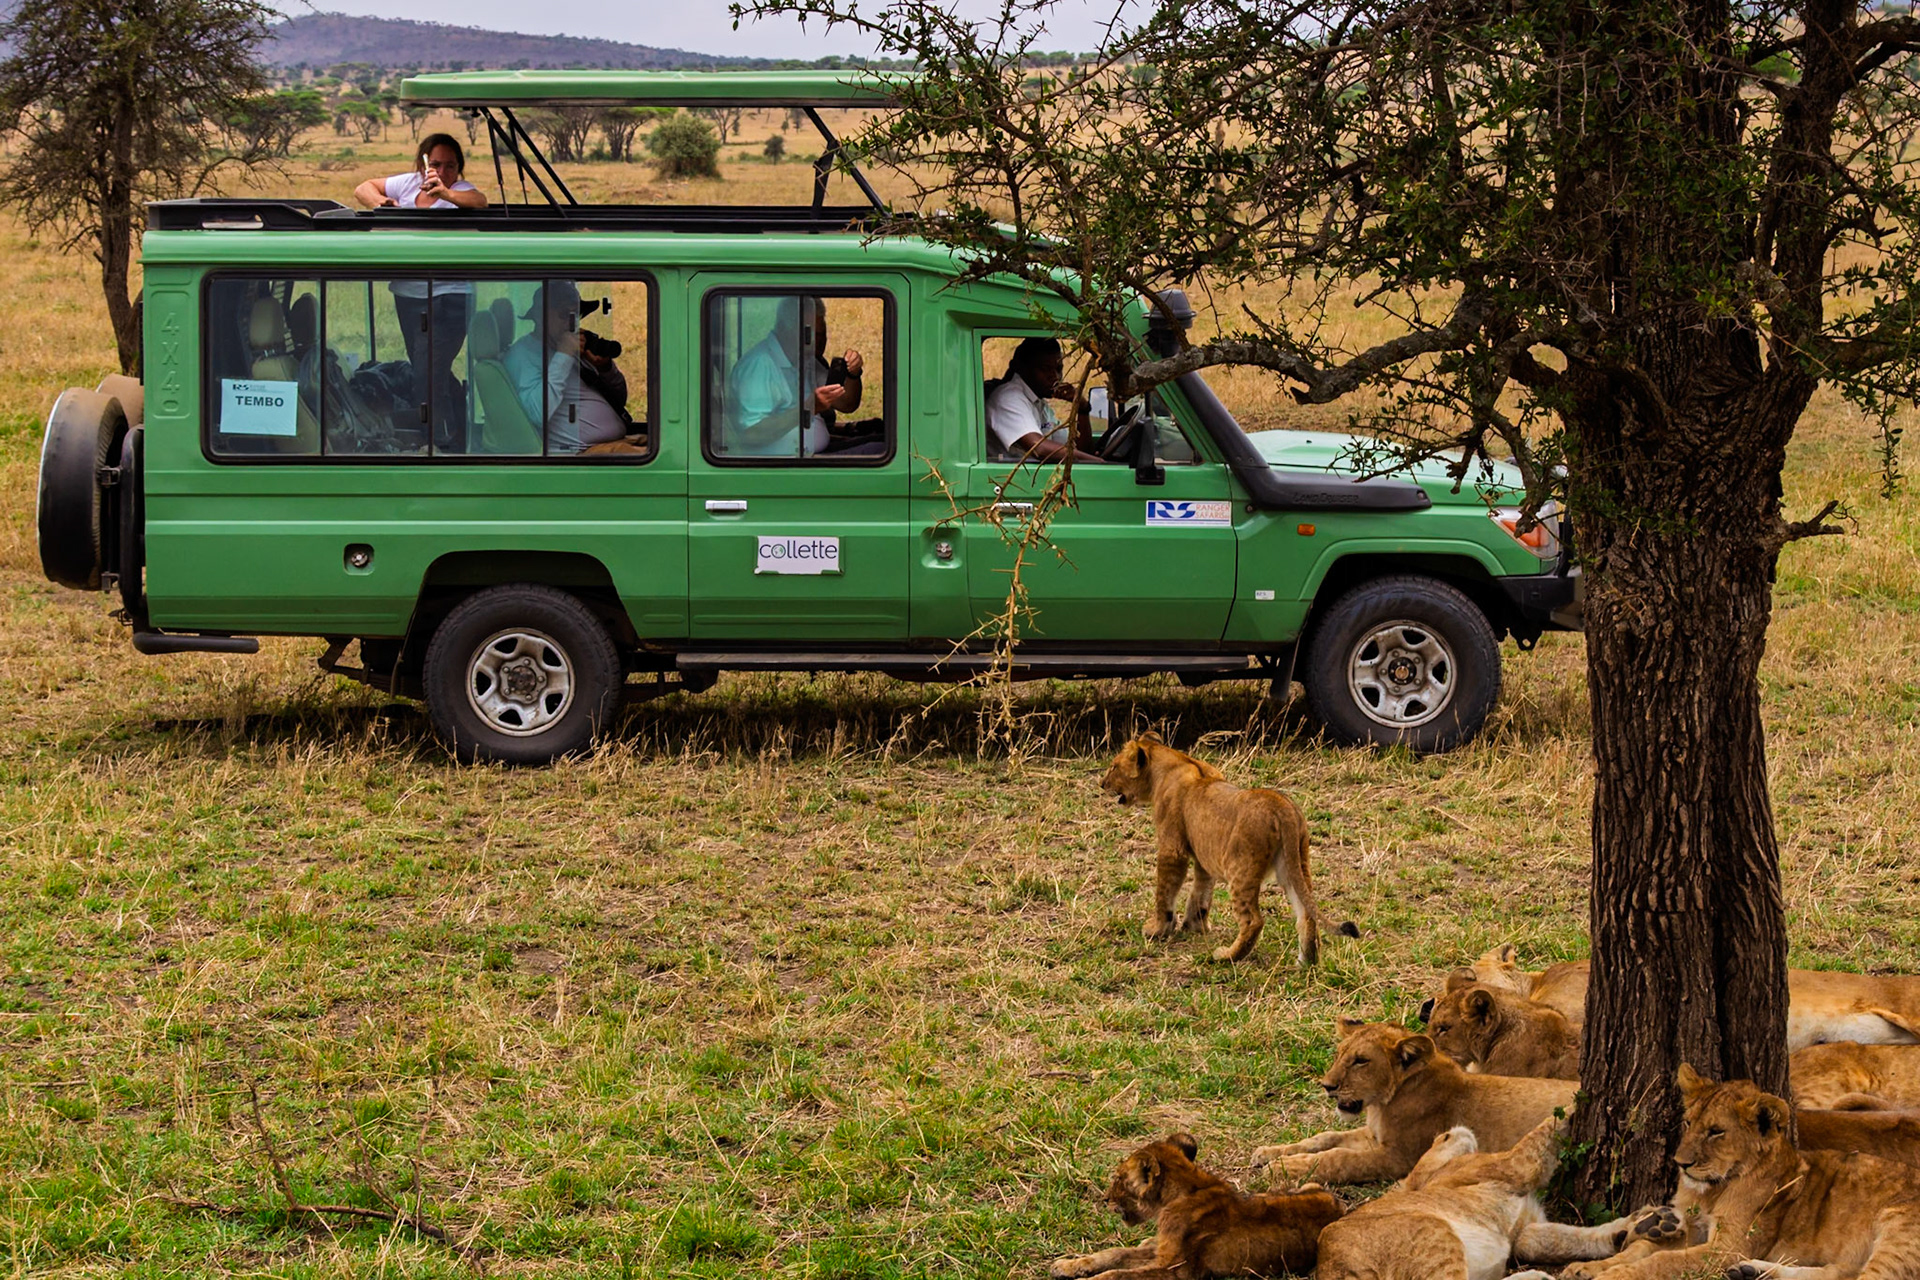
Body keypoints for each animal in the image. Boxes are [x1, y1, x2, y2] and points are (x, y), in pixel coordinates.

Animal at [1049, 1132, 1343, 1280]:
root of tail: (1338, 1206)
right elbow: (1114, 1254)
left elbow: (1116, 1275)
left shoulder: (1177, 1270)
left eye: (1119, 1179)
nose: (1105, 1199)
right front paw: (1067, 1266)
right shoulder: (1162, 1252)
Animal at [1100, 731, 1355, 964]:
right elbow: (1201, 892)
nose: (1101, 784)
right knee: (1307, 913)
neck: (1173, 762)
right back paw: (1306, 962)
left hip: (1240, 868)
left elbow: (1165, 891)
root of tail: (1282, 808)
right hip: (1295, 863)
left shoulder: (1172, 850)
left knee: (1254, 920)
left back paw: (1226, 956)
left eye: (1113, 767)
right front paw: (1195, 925)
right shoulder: (1204, 855)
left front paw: (1157, 929)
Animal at [1249, 1019, 1577, 1184]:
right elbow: (1326, 1137)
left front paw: (1283, 1168)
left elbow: (1339, 1158)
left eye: (1361, 1061)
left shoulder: (1399, 1157)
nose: (1327, 1086)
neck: (1383, 1104)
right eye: (1340, 1053)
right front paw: (1269, 1152)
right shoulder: (1375, 1136)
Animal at [1315, 1119, 1683, 1280]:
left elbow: (1568, 1238)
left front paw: (1644, 1224)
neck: (1433, 1176)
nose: (1446, 1131)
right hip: (1432, 1233)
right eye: (1437, 1140)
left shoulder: (1524, 1231)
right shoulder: (1511, 1165)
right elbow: (1544, 1130)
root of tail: (1331, 1263)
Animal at [1563, 1063, 1920, 1280]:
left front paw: (1615, 1275)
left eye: (1716, 1132)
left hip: (1899, 1234)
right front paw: (1586, 1267)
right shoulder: (1696, 1233)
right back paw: (1752, 1272)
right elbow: (1643, 1248)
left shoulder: (1726, 1248)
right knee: (1838, 1273)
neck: (1712, 1190)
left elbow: (1662, 1261)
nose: (1681, 1163)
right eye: (1689, 1123)